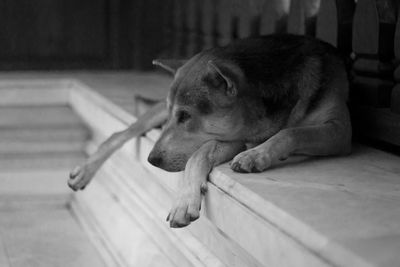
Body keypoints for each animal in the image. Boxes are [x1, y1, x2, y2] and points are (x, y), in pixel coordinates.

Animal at [68, 34, 350, 228]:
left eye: (186, 116)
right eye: (176, 114)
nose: (152, 160)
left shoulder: (338, 132)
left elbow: (292, 132)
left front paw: (256, 155)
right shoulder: (235, 136)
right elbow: (198, 155)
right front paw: (185, 200)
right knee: (122, 133)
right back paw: (85, 170)